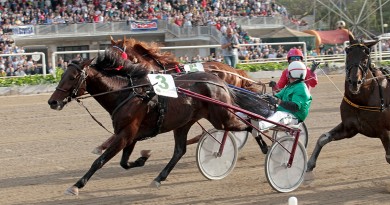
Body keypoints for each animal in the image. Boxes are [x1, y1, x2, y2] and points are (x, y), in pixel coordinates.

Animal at [47, 46, 272, 195]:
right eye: (62, 75)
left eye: (72, 77)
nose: (52, 101)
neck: (128, 93)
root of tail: (221, 81)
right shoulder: (131, 134)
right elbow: (124, 163)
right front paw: (142, 157)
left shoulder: (125, 133)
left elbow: (100, 161)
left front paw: (76, 185)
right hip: (184, 123)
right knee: (180, 150)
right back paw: (158, 178)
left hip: (222, 118)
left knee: (248, 124)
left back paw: (267, 144)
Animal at [304, 33, 390, 179]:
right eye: (348, 53)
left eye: (366, 57)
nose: (354, 82)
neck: (362, 100)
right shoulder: (349, 127)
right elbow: (323, 138)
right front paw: (310, 164)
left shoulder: (385, 132)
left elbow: (389, 157)